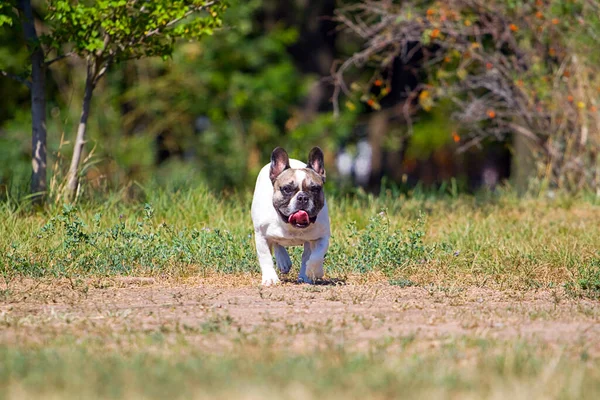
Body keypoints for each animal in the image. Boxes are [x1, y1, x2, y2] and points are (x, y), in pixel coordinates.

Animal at [251, 147, 330, 284]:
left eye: (315, 189)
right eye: (287, 189)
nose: (302, 197)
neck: (291, 226)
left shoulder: (323, 236)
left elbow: (316, 256)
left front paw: (314, 271)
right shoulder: (261, 235)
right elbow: (265, 257)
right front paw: (270, 278)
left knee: (306, 255)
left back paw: (304, 275)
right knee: (276, 243)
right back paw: (283, 260)